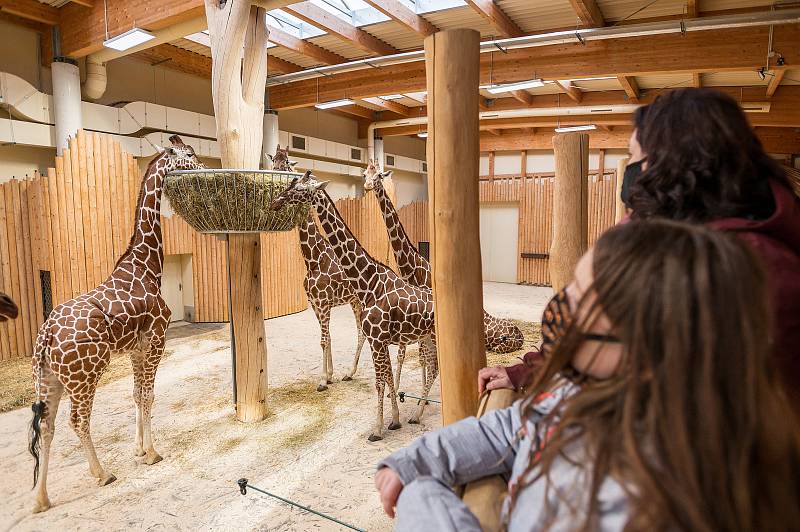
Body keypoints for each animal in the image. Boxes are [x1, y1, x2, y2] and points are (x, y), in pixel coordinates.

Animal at [27, 134, 205, 512]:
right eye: (189, 154)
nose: (202, 167)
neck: (147, 266)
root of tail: (46, 336)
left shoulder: (137, 349)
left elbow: (136, 395)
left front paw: (138, 448)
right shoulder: (156, 339)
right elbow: (148, 395)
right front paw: (152, 452)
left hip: (48, 379)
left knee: (47, 426)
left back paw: (42, 498)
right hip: (85, 376)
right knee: (77, 421)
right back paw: (102, 473)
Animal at [270, 145, 368, 390]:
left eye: (286, 163)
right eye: (273, 160)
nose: (274, 202)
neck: (313, 257)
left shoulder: (323, 303)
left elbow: (323, 339)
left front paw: (323, 380)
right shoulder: (315, 304)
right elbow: (328, 337)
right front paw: (330, 375)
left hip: (359, 302)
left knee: (362, 332)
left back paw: (351, 372)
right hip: (353, 301)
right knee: (361, 333)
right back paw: (348, 373)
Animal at [274, 171, 438, 440]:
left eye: (300, 188)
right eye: (291, 183)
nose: (276, 202)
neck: (369, 281)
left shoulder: (377, 339)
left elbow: (380, 381)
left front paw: (378, 429)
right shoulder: (377, 339)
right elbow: (387, 376)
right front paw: (395, 419)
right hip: (425, 336)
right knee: (433, 367)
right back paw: (416, 413)